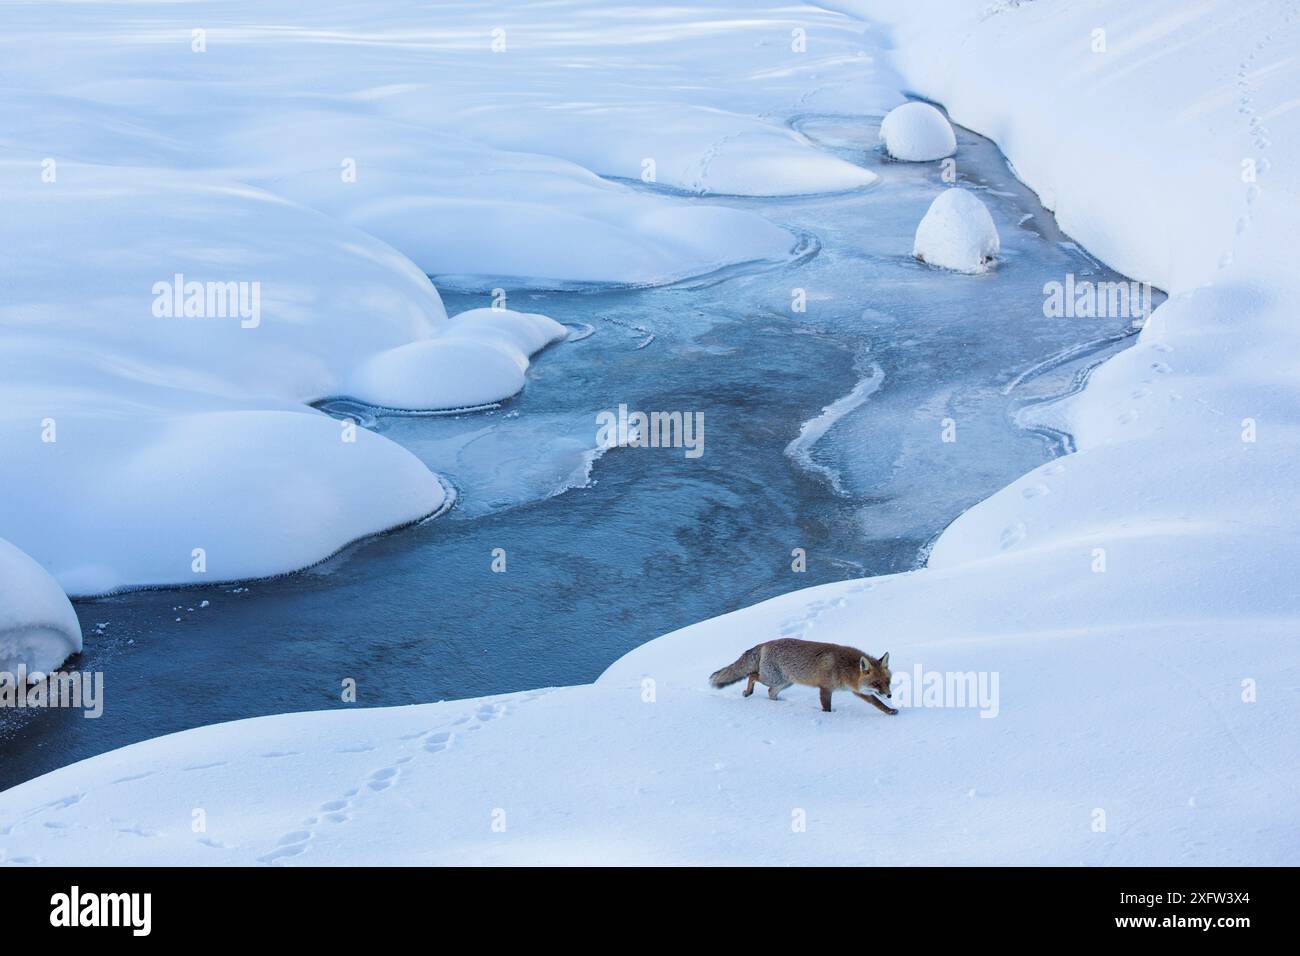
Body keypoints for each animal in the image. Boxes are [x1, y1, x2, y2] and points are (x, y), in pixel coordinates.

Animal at [712, 639, 894, 712]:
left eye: (888, 682)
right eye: (876, 683)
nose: (890, 695)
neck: (844, 667)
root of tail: (765, 643)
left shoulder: (856, 690)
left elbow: (876, 702)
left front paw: (890, 711)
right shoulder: (825, 688)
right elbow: (826, 707)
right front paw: (829, 716)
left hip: (785, 683)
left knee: (770, 692)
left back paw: (777, 703)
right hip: (773, 678)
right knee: (752, 675)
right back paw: (748, 692)